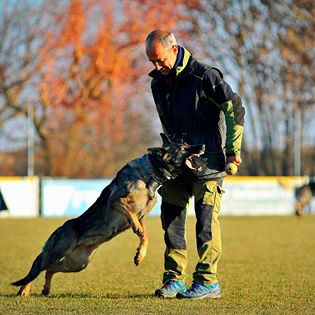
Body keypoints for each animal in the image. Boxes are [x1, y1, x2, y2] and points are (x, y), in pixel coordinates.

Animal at [12, 135, 206, 298]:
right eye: (182, 147)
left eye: (186, 143)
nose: (203, 146)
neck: (150, 172)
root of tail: (60, 229)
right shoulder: (117, 201)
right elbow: (135, 221)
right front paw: (136, 232)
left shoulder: (142, 216)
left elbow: (146, 236)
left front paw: (140, 255)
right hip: (56, 253)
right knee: (38, 266)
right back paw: (23, 290)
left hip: (77, 264)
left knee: (49, 270)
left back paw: (45, 289)